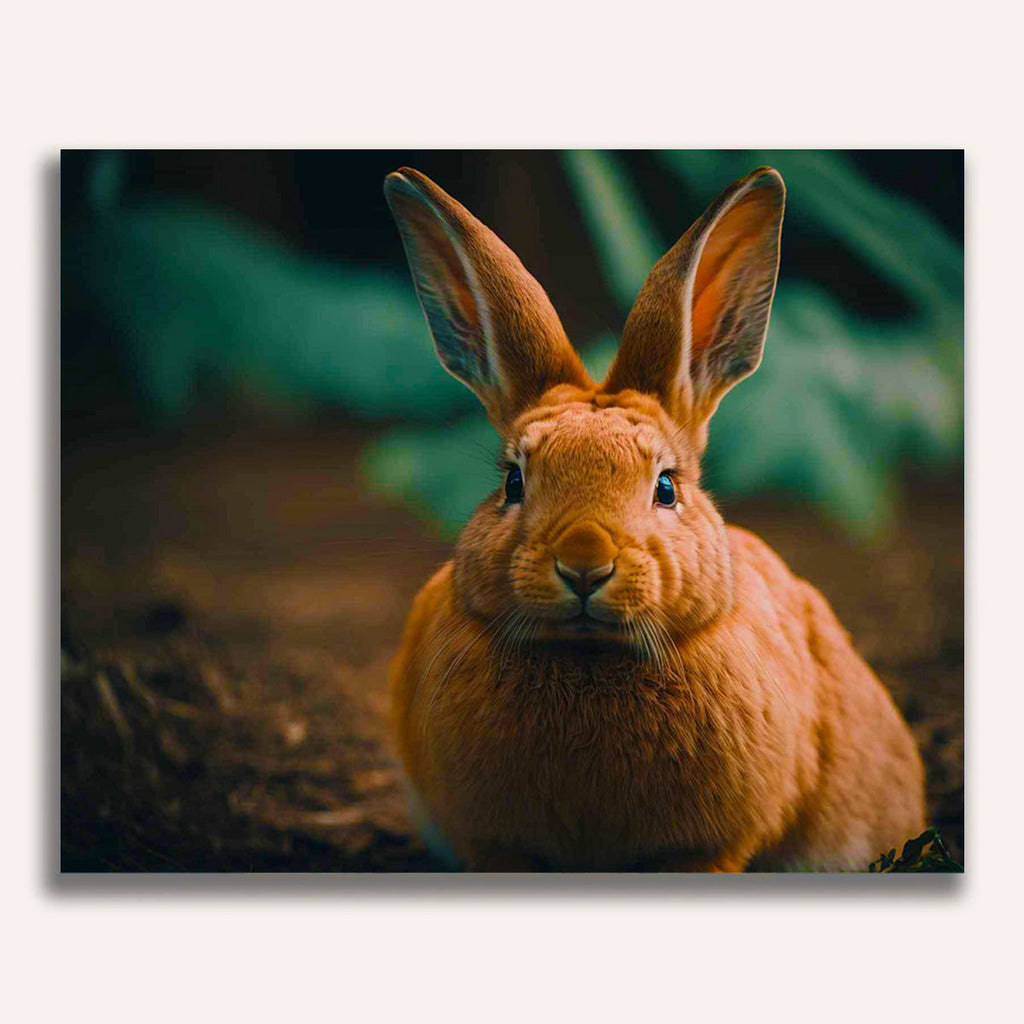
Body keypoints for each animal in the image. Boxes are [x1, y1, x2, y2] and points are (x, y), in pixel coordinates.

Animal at [383, 164, 925, 871]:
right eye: (512, 482)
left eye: (665, 488)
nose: (584, 565)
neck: (589, 658)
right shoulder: (496, 846)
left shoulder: (704, 849)